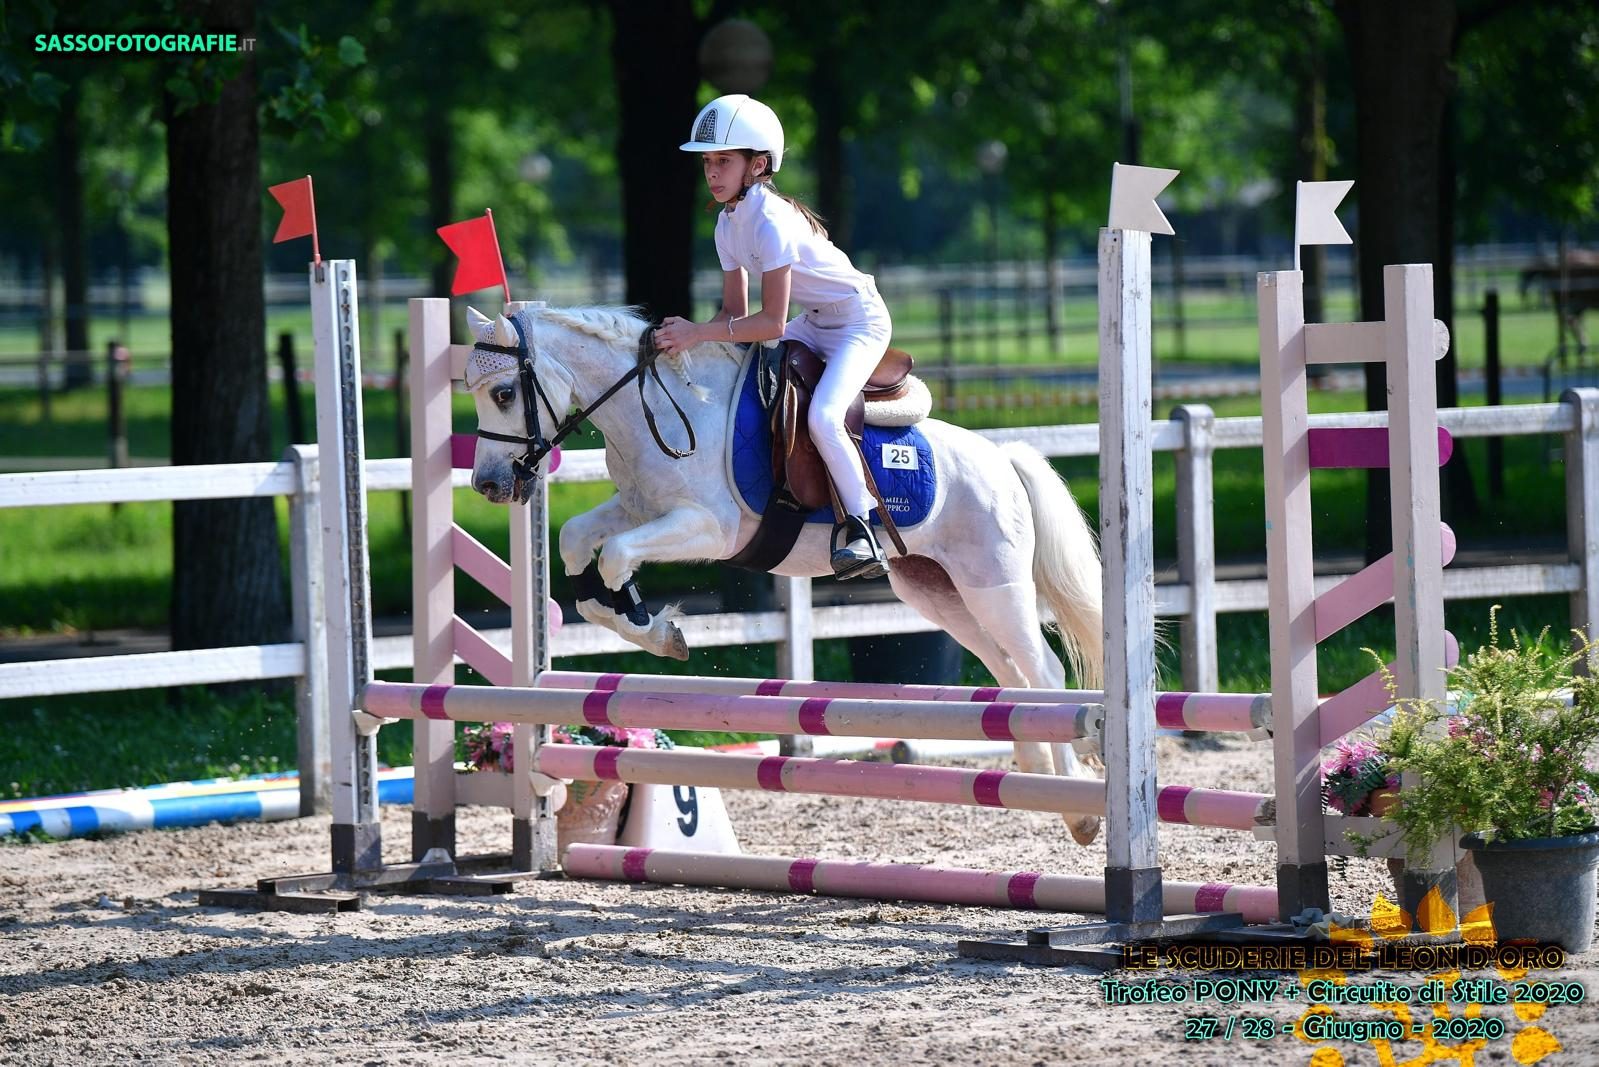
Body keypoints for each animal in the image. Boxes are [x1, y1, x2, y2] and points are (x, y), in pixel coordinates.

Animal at [463, 304, 1106, 844]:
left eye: (503, 392)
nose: (489, 486)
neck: (656, 408)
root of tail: (1004, 458)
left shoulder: (707, 527)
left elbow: (617, 555)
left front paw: (654, 627)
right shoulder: (641, 510)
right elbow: (577, 543)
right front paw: (632, 617)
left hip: (992, 585)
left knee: (1044, 672)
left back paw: (1078, 809)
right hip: (939, 592)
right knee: (1010, 672)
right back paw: (1036, 773)